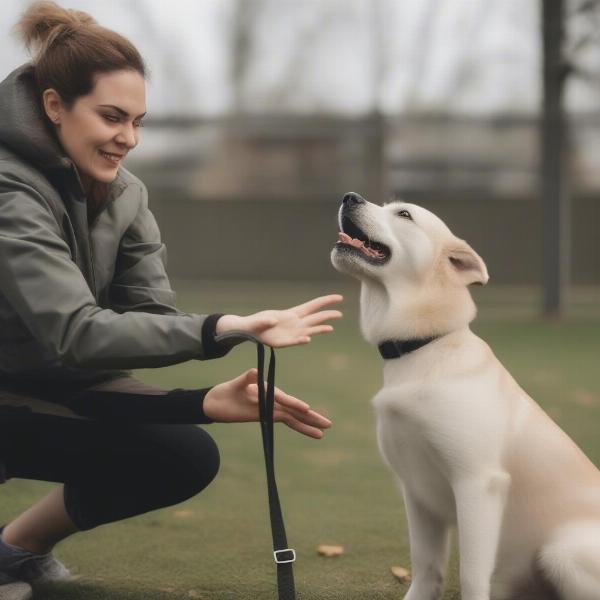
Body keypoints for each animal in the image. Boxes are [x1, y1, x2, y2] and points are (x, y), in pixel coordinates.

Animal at [330, 193, 600, 600]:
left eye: (404, 214)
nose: (350, 197)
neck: (423, 350)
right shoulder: (416, 491)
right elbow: (426, 570)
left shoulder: (478, 484)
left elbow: (472, 575)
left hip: (560, 552)